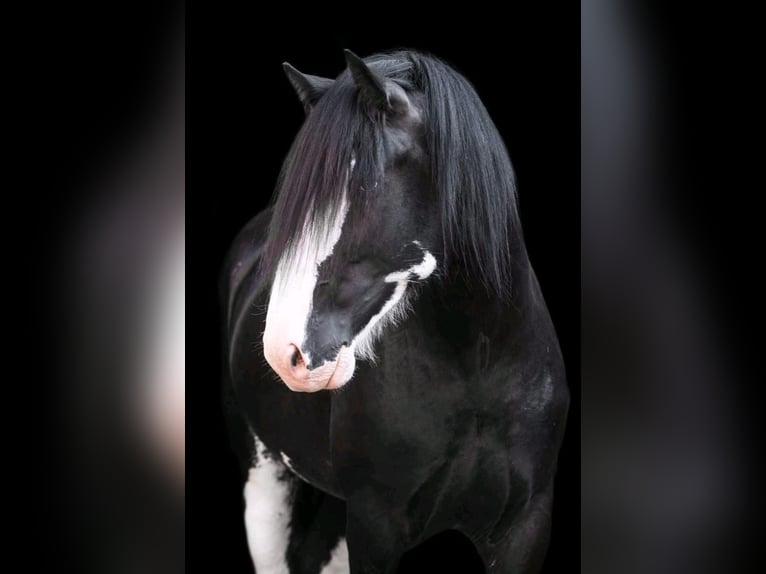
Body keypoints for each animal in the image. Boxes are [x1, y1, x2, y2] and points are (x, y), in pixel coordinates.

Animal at [222, 50, 568, 574]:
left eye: (364, 187)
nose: (285, 353)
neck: (479, 362)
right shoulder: (374, 526)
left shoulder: (525, 528)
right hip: (263, 482)